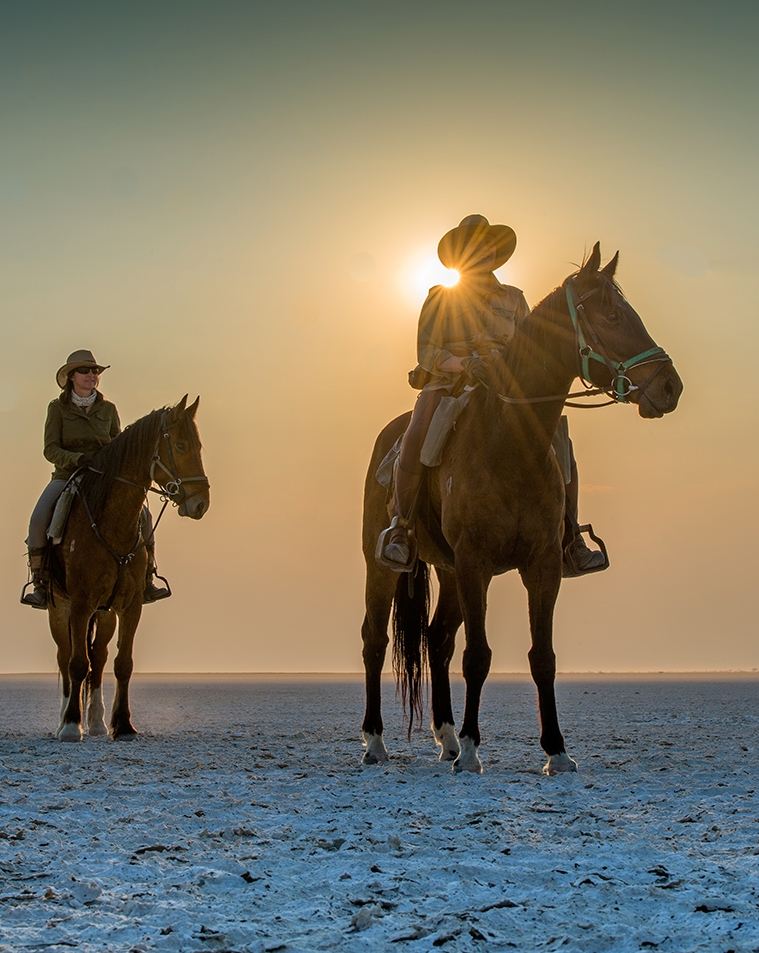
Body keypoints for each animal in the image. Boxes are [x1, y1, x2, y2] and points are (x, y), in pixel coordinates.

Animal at [49, 398, 209, 740]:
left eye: (198, 446)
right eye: (180, 445)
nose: (202, 503)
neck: (113, 525)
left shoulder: (131, 605)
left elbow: (123, 663)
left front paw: (122, 724)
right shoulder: (80, 604)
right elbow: (76, 663)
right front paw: (70, 726)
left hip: (106, 612)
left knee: (99, 656)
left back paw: (96, 722)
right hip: (59, 609)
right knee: (65, 657)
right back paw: (65, 720)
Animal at [360, 244, 684, 772]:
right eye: (613, 315)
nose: (670, 386)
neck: (508, 441)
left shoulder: (541, 566)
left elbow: (542, 657)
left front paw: (557, 752)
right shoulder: (476, 563)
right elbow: (478, 656)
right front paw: (473, 752)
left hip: (449, 570)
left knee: (437, 638)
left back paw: (446, 737)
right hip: (384, 565)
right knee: (376, 639)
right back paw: (376, 742)